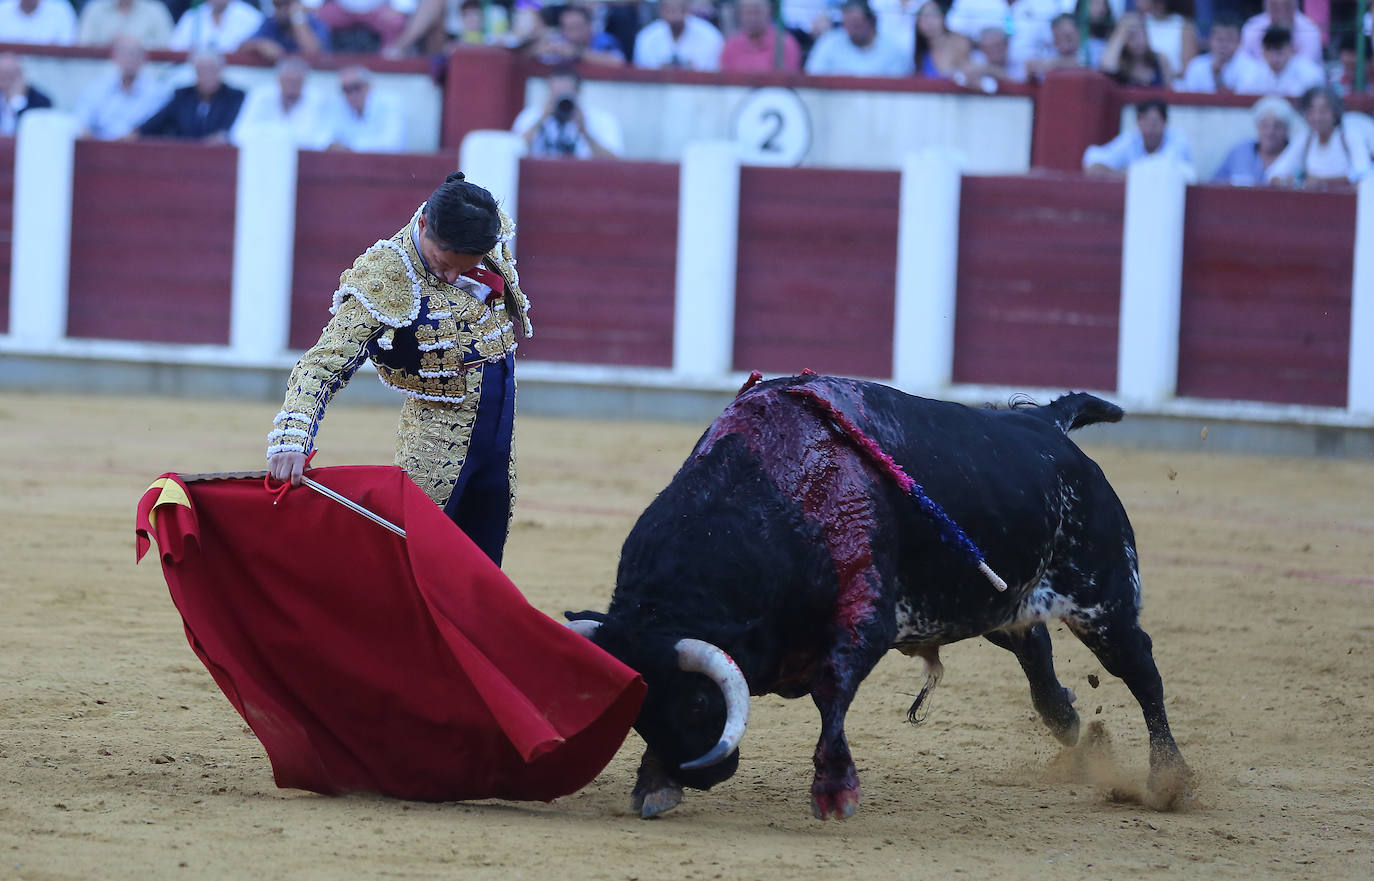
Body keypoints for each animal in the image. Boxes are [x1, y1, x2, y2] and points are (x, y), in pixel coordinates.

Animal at [563, 376, 1187, 819]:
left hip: (1102, 600)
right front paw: (655, 785)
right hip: (994, 600)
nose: (701, 775)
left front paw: (835, 793)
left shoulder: (865, 621)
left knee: (1142, 671)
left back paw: (1168, 781)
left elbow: (831, 694)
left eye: (696, 703)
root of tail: (1047, 423)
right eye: (640, 707)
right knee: (1033, 645)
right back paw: (1067, 721)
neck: (771, 496)